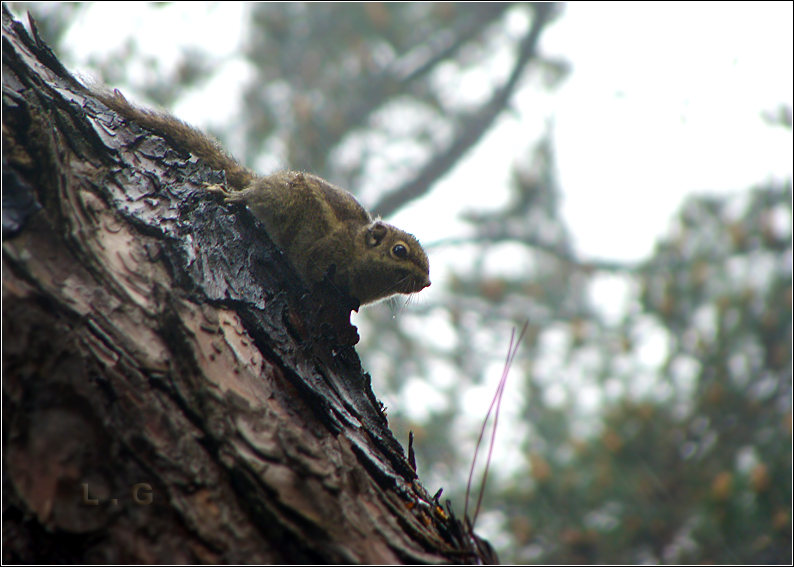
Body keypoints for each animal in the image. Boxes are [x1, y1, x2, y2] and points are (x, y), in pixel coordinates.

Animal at [93, 88, 430, 306]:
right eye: (399, 251)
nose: (427, 282)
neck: (357, 249)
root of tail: (262, 181)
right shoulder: (323, 251)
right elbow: (312, 275)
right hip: (278, 198)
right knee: (249, 197)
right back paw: (232, 196)